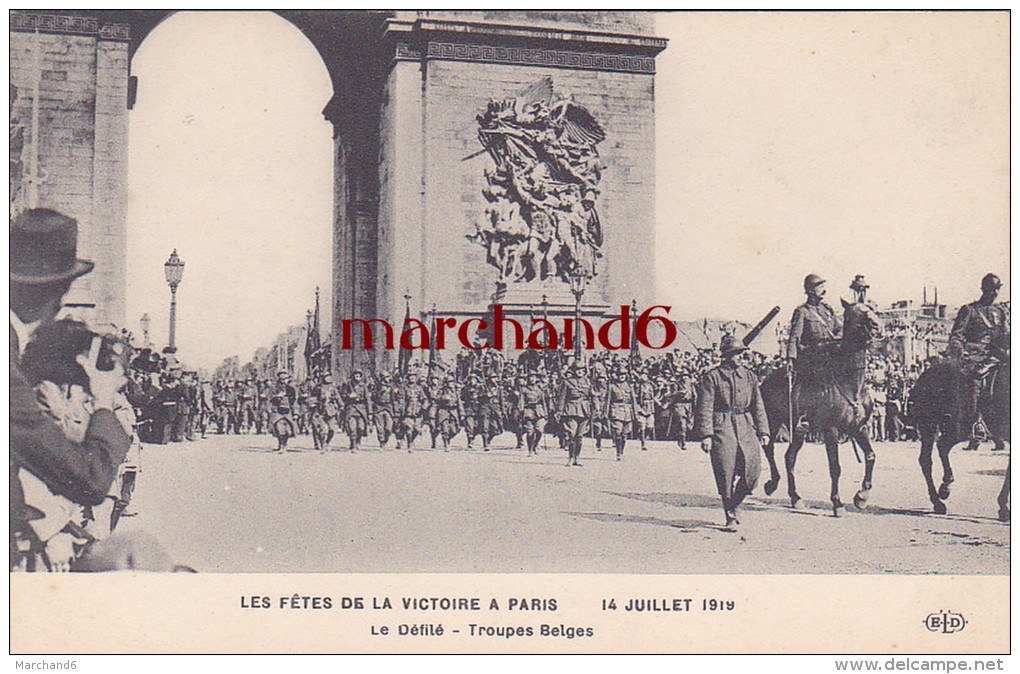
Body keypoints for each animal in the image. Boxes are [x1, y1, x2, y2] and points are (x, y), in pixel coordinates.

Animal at [762, 299, 881, 515]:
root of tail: (765, 379)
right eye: (853, 314)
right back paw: (772, 484)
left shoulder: (860, 427)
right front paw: (837, 503)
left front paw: (862, 496)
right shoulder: (831, 430)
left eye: (871, 309)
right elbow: (835, 468)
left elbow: (870, 456)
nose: (877, 327)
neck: (850, 381)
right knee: (769, 448)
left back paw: (796, 497)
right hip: (772, 422)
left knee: (789, 457)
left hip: (798, 431)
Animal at [905, 354, 1007, 517]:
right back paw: (940, 497)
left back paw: (942, 493)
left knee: (937, 450)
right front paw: (1003, 507)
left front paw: (1003, 507)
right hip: (940, 425)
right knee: (932, 454)